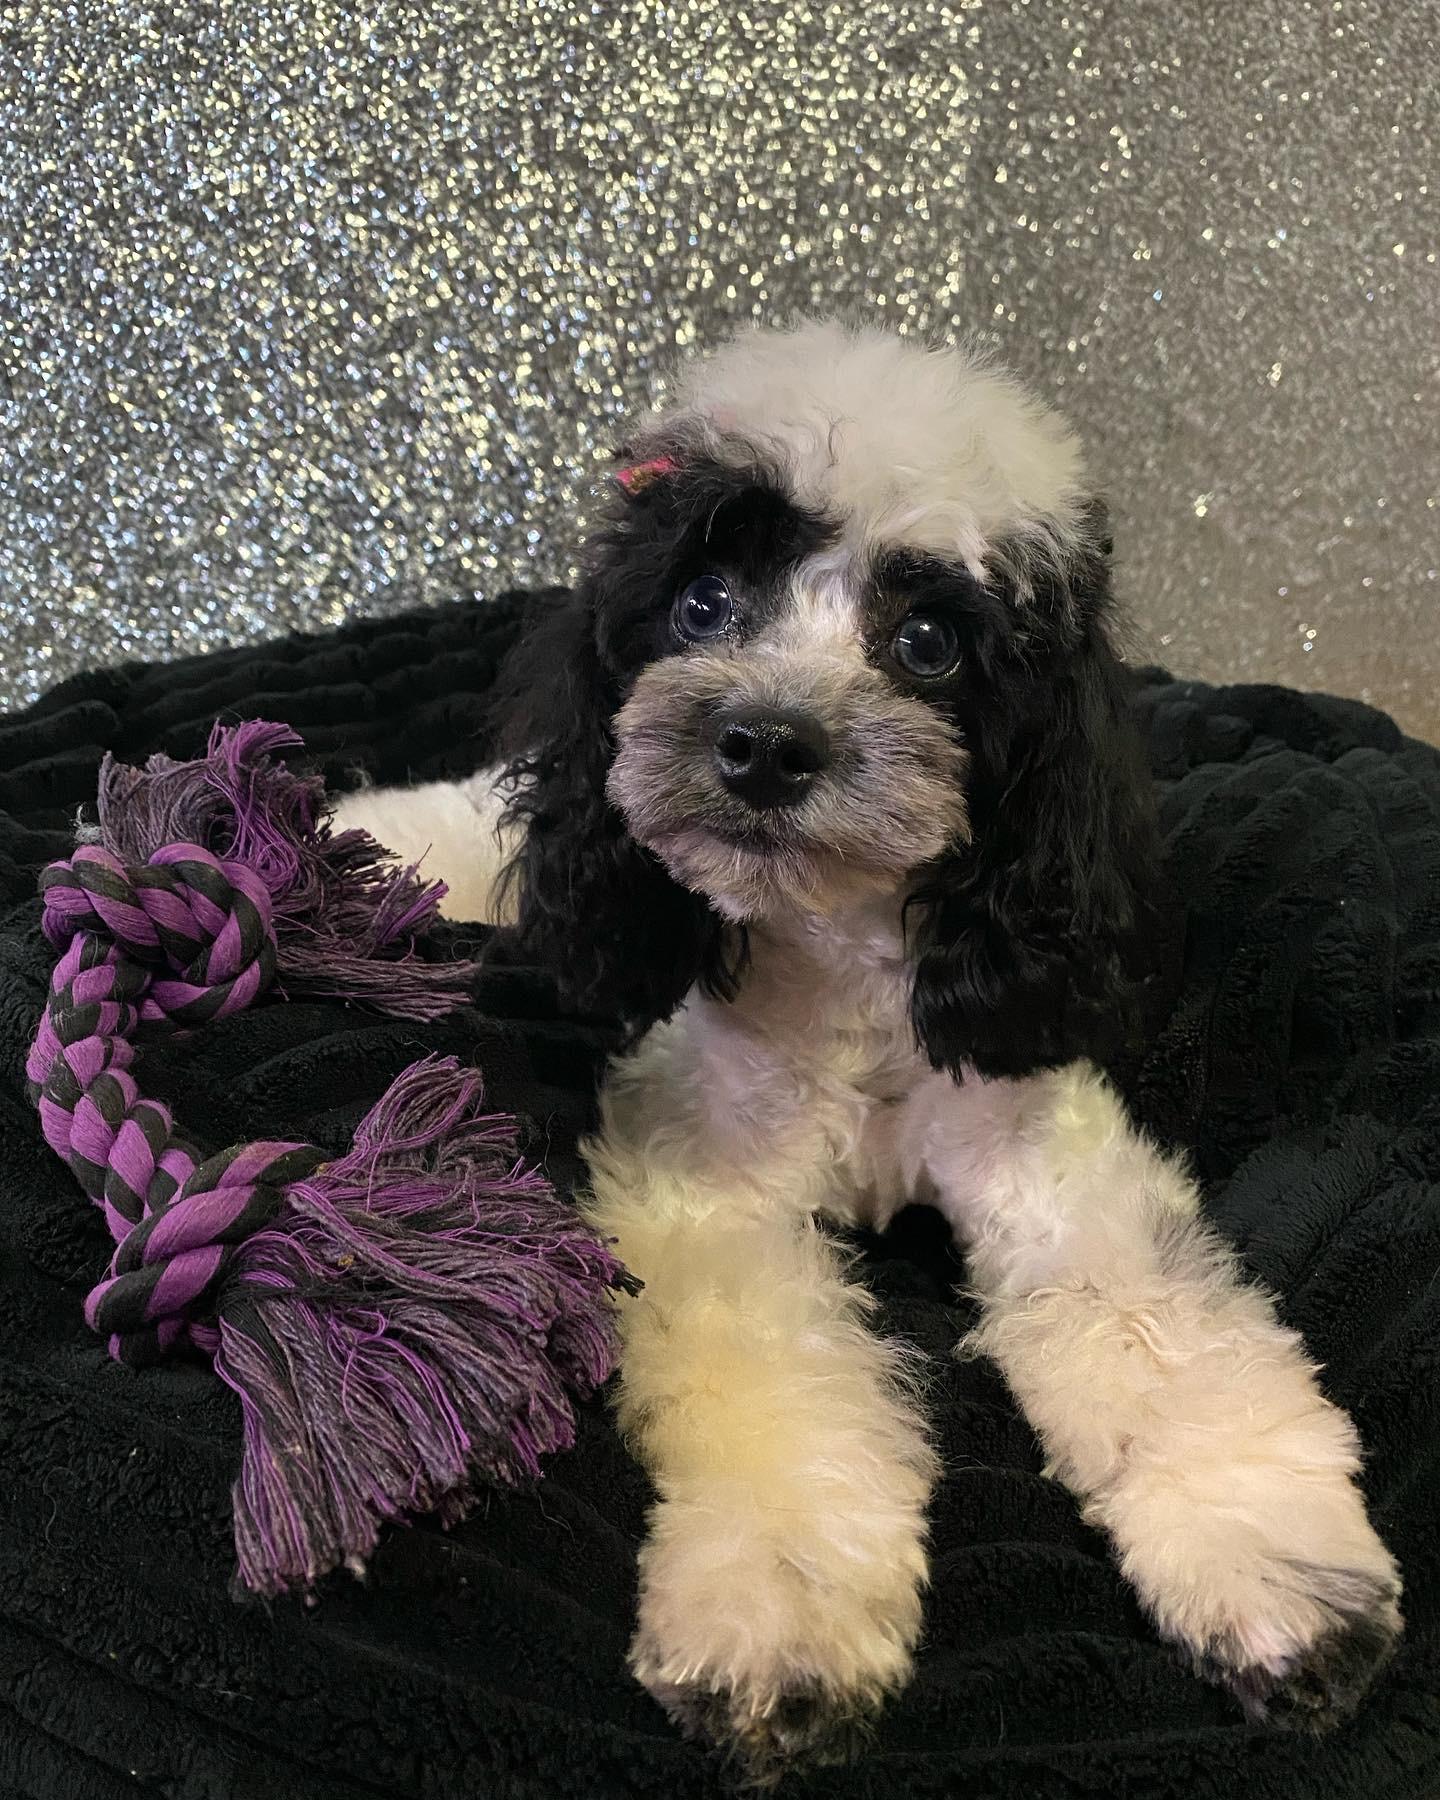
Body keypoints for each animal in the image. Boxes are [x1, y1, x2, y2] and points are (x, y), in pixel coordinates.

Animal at [334, 319, 1402, 1777]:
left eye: (931, 639)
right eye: (704, 602)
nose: (765, 741)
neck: (847, 979)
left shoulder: (1058, 1169)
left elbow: (1159, 1335)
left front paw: (1270, 1558)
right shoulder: (711, 1195)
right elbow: (782, 1375)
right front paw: (779, 1615)